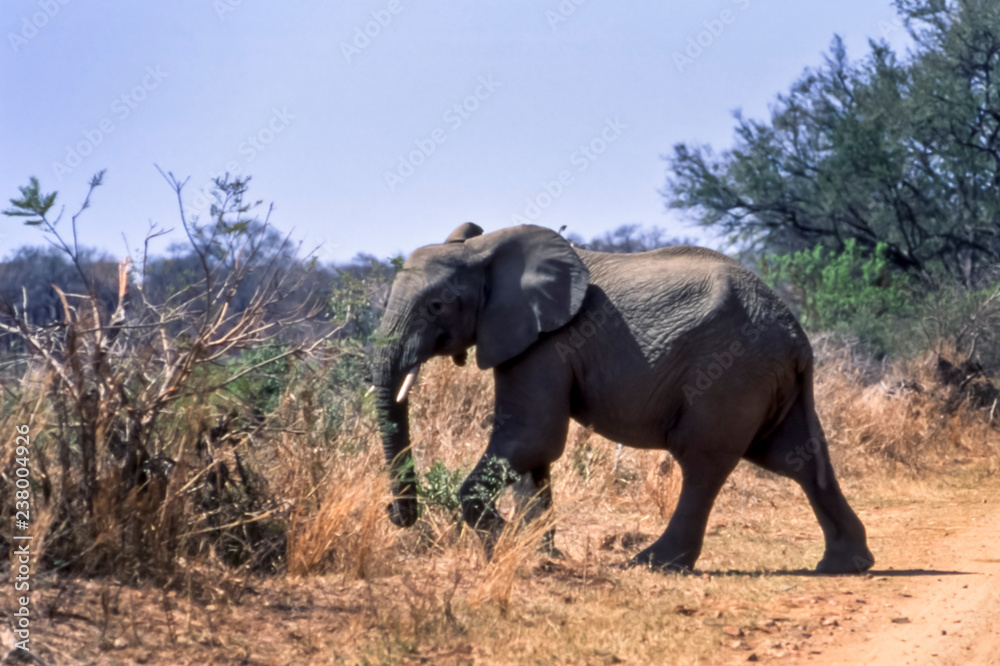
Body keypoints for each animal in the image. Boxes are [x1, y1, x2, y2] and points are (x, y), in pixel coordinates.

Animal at [370, 222, 873, 573]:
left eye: (436, 306)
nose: (395, 515)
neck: (484, 248)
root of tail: (797, 336)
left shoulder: (546, 344)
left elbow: (532, 438)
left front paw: (501, 543)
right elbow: (535, 456)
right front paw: (539, 554)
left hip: (731, 373)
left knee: (703, 461)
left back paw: (654, 563)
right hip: (766, 378)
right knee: (795, 456)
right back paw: (844, 565)